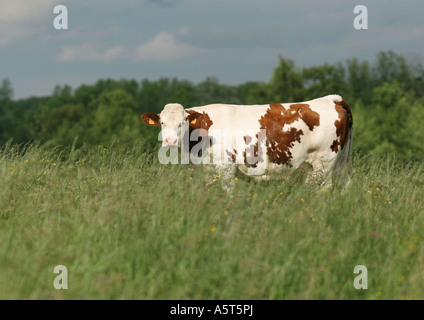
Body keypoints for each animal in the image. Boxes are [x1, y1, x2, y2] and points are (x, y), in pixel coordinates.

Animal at [141, 94, 352, 191]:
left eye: (182, 122)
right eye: (162, 122)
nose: (170, 141)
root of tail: (330, 99)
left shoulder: (226, 168)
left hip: (324, 163)